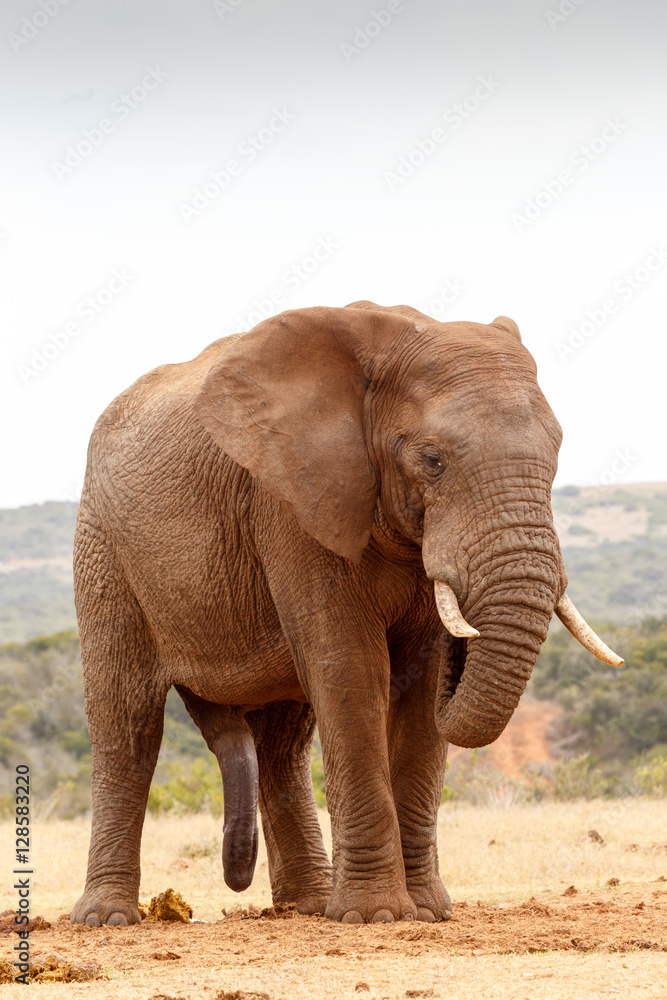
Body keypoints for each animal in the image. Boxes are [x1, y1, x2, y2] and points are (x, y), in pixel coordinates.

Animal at [70, 302, 622, 927]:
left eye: (555, 456)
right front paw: (375, 916)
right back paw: (107, 919)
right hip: (103, 549)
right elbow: (351, 669)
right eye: (433, 461)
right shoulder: (292, 503)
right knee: (127, 723)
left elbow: (420, 684)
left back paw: (306, 907)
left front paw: (428, 912)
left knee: (283, 742)